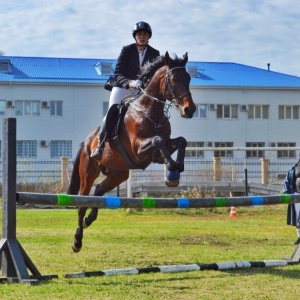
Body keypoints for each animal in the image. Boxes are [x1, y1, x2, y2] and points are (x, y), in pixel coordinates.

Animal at [67, 50, 197, 252]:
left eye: (189, 78)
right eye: (173, 79)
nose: (189, 110)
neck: (150, 111)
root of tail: (87, 141)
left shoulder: (157, 154)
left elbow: (180, 141)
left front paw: (175, 170)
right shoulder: (139, 150)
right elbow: (158, 140)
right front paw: (172, 172)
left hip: (118, 174)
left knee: (99, 190)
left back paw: (90, 219)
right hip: (88, 172)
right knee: (82, 203)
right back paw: (77, 241)